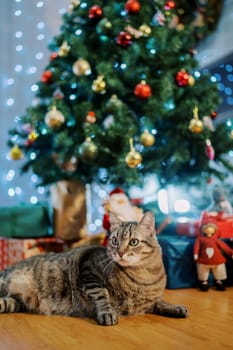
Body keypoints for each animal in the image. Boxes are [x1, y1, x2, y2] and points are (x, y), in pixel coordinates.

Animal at [0, 211, 187, 326]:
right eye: (114, 241)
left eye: (133, 242)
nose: (119, 253)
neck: (144, 276)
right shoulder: (89, 270)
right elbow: (102, 295)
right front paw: (108, 313)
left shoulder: (148, 301)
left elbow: (160, 302)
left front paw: (175, 308)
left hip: (12, 303)